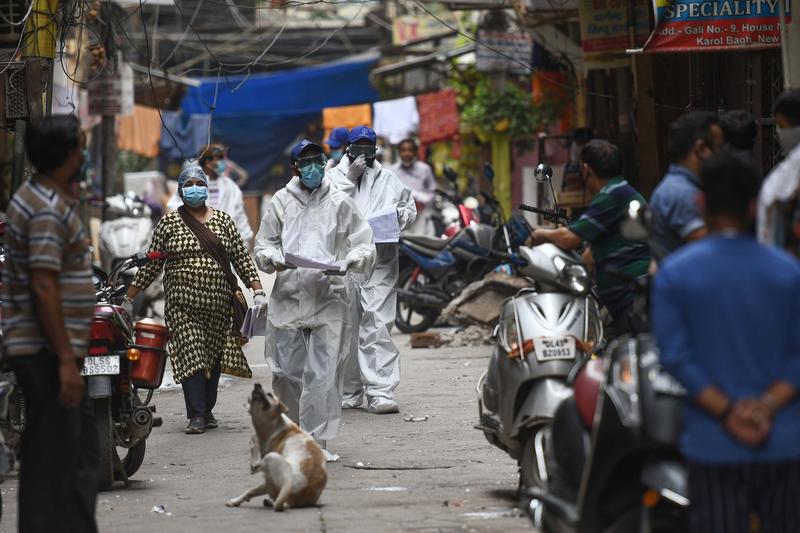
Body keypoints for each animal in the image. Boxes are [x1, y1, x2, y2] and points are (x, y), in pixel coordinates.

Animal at [223, 380, 326, 510]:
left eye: (270, 394)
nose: (257, 384)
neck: (275, 425)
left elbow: (252, 482)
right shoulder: (268, 484)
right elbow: (251, 491)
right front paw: (235, 501)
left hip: (271, 457)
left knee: (254, 467)